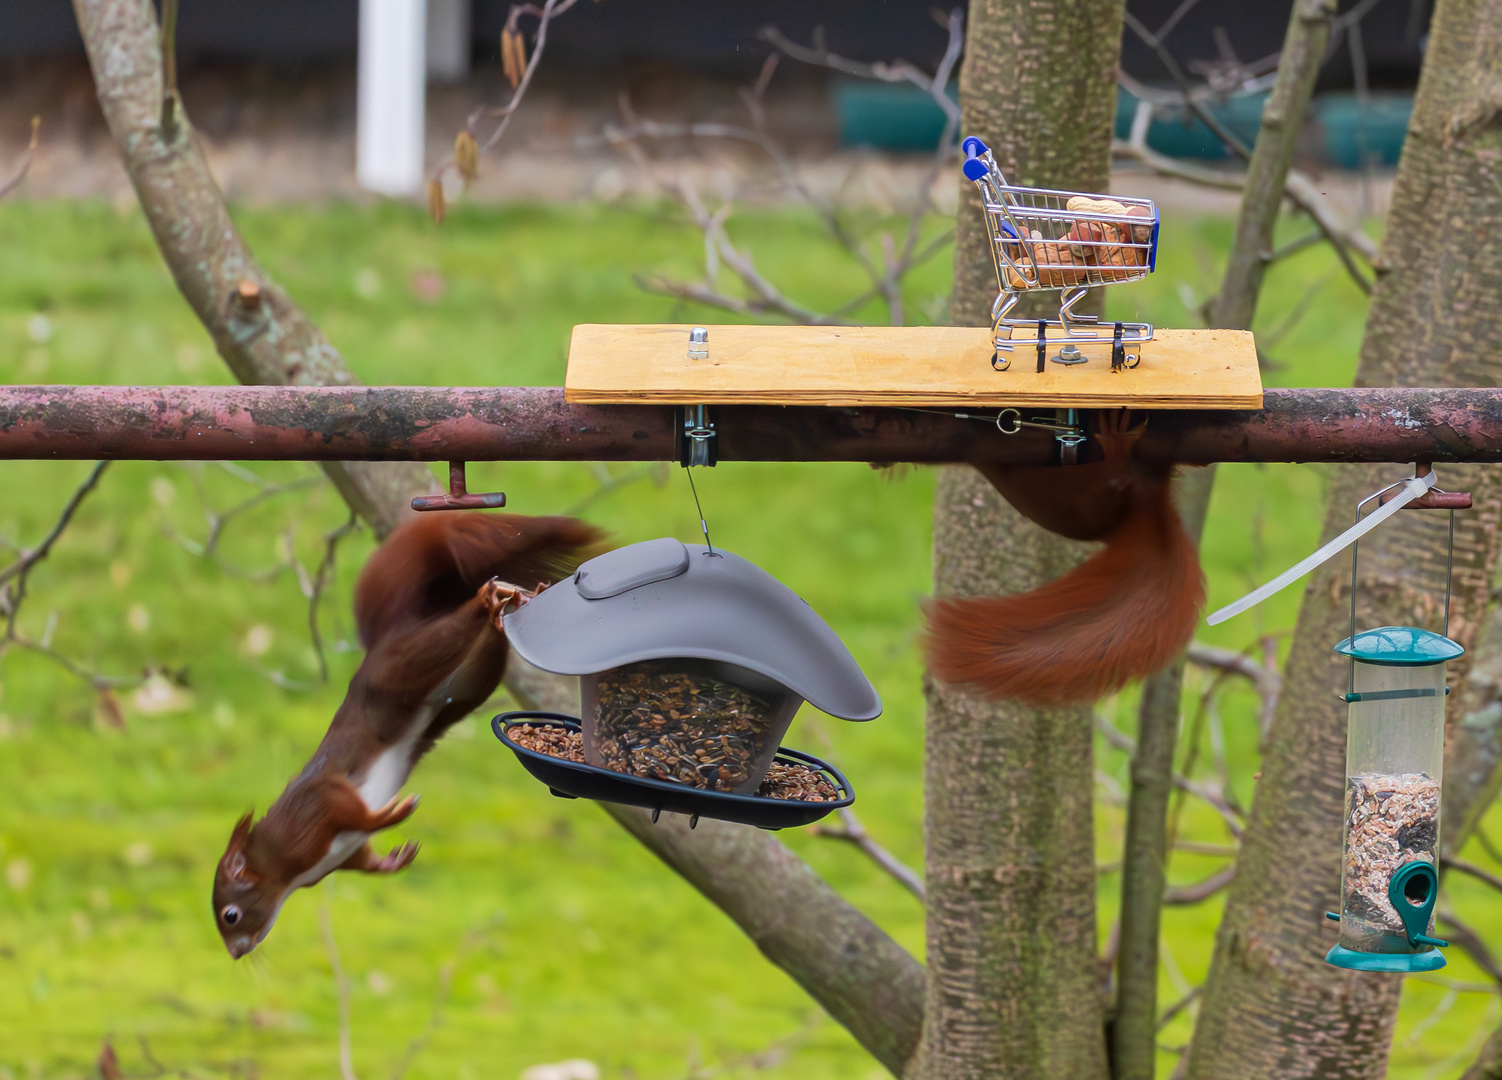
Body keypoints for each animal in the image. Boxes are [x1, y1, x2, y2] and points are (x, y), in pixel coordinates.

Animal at [213, 510, 603, 961]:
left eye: (231, 915)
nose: (236, 954)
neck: (280, 870)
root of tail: (388, 639)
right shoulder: (342, 851)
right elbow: (363, 858)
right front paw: (391, 860)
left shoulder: (311, 807)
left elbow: (347, 808)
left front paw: (389, 814)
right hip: (467, 684)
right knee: (488, 646)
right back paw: (502, 610)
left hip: (404, 668)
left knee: (446, 635)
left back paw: (487, 599)